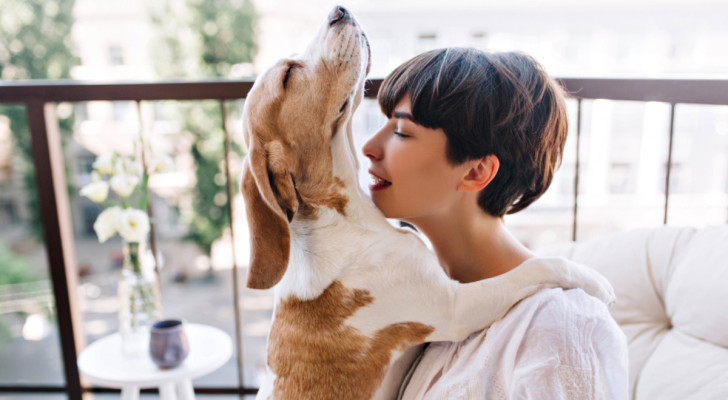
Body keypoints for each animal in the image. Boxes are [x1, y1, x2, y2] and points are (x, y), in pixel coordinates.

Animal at [240, 6, 616, 400]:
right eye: (289, 75)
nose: (338, 11)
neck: (346, 218)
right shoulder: (455, 307)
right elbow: (536, 268)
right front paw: (592, 278)